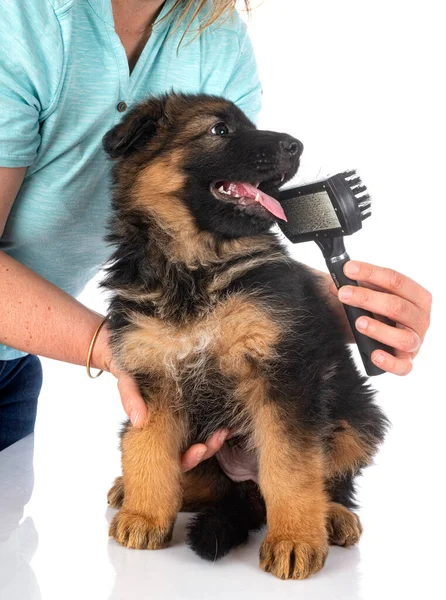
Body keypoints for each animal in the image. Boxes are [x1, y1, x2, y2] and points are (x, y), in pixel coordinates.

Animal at [101, 94, 386, 580]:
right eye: (220, 130)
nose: (296, 145)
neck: (194, 269)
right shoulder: (151, 378)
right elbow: (148, 448)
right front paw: (144, 515)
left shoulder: (282, 373)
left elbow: (291, 464)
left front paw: (294, 540)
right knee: (193, 480)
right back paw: (129, 490)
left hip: (357, 411)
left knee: (332, 478)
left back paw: (333, 516)